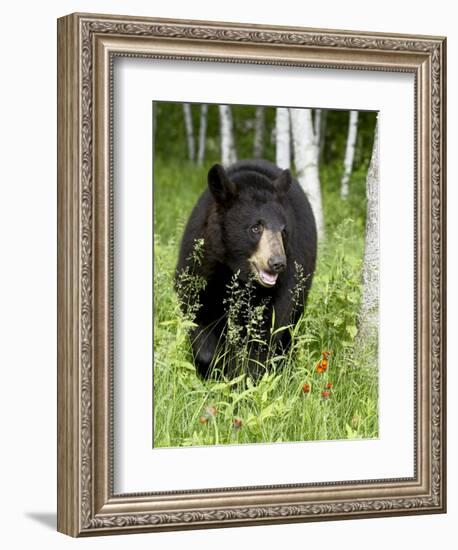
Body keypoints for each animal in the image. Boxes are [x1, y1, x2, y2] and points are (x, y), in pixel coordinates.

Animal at [176, 160, 318, 380]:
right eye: (256, 228)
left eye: (283, 231)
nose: (278, 263)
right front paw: (212, 368)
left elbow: (265, 333)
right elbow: (198, 313)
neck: (235, 271)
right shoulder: (201, 265)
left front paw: (244, 378)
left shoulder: (284, 284)